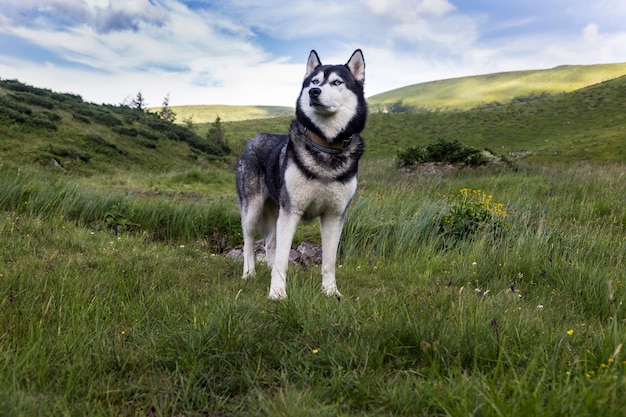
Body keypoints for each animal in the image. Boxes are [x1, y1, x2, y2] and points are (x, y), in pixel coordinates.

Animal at [238, 48, 366, 298]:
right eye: (314, 82)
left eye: (337, 82)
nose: (314, 92)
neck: (326, 146)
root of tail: (254, 138)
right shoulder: (292, 211)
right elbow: (282, 259)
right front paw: (277, 294)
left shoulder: (334, 215)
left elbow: (329, 261)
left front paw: (330, 292)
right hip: (253, 210)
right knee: (249, 242)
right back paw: (249, 274)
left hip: (276, 211)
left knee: (270, 243)